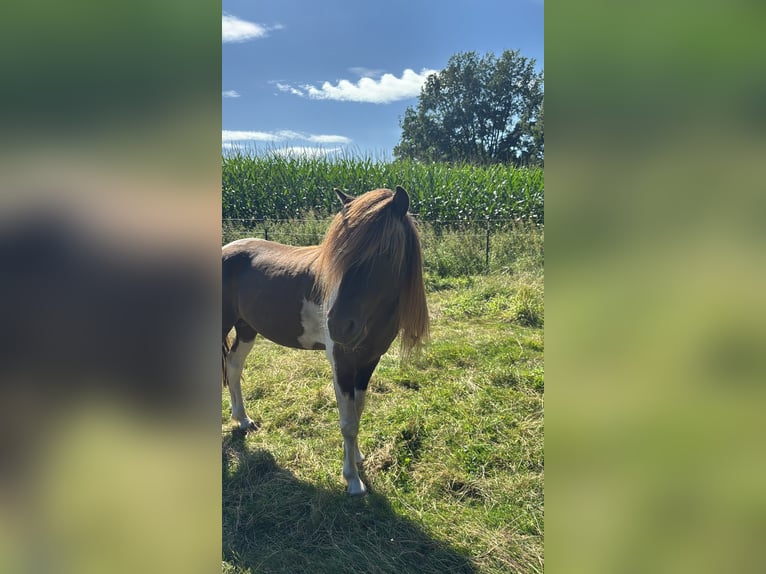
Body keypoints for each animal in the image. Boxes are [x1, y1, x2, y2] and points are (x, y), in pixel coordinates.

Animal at [222, 186, 429, 495]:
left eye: (386, 252)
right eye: (339, 253)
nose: (337, 326)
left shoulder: (369, 361)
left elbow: (358, 411)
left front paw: (357, 457)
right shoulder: (341, 362)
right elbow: (347, 422)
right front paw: (353, 480)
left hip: (247, 328)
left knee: (234, 366)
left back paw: (243, 420)